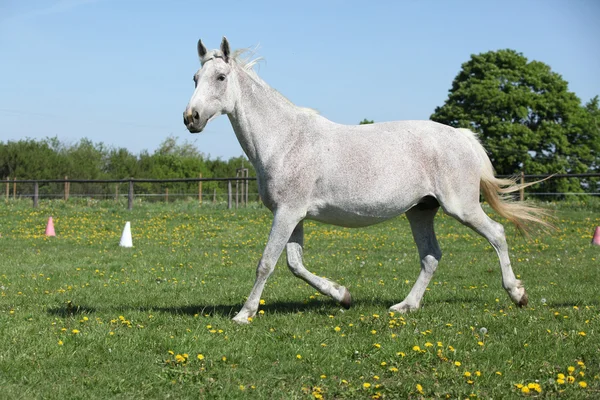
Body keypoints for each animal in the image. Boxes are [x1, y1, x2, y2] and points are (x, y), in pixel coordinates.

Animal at [183, 37, 548, 324]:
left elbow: (267, 263)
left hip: (462, 208)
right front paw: (342, 295)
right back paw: (405, 306)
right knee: (431, 257)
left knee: (497, 234)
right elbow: (295, 265)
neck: (285, 140)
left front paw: (244, 314)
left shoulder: (287, 213)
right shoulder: (293, 215)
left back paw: (518, 294)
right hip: (420, 211)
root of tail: (463, 136)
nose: (191, 118)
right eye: (195, 77)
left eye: (220, 76)